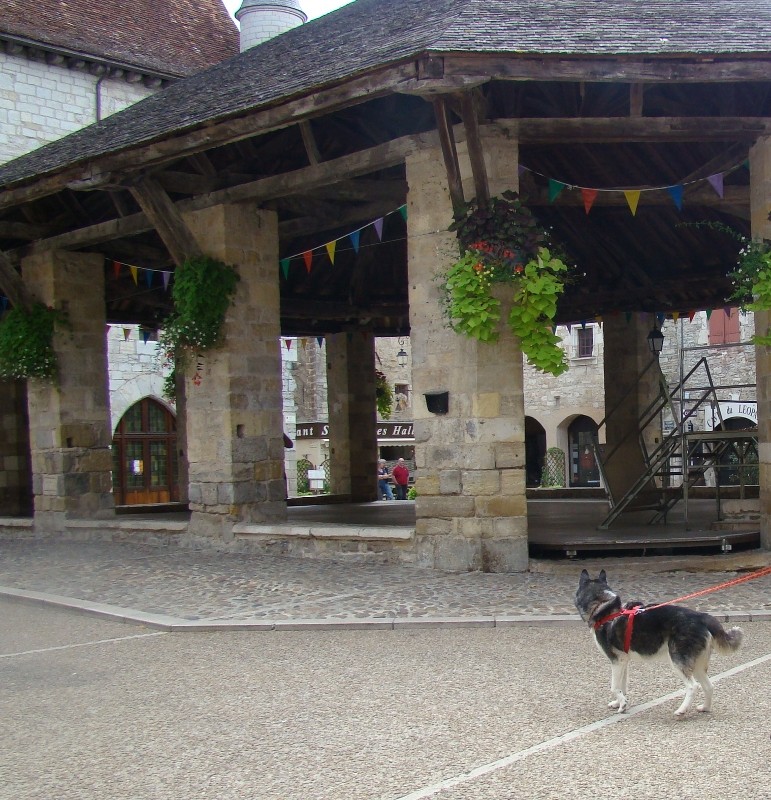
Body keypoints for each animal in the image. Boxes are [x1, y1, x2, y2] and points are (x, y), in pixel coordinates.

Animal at [576, 568, 744, 720]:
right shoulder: (623, 661)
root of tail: (701, 617)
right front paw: (620, 703)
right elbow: (622, 686)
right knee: (708, 686)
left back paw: (681, 710)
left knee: (693, 686)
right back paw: (705, 708)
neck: (603, 607)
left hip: (678, 661)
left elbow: (614, 687)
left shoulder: (617, 661)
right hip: (697, 665)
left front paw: (622, 704)